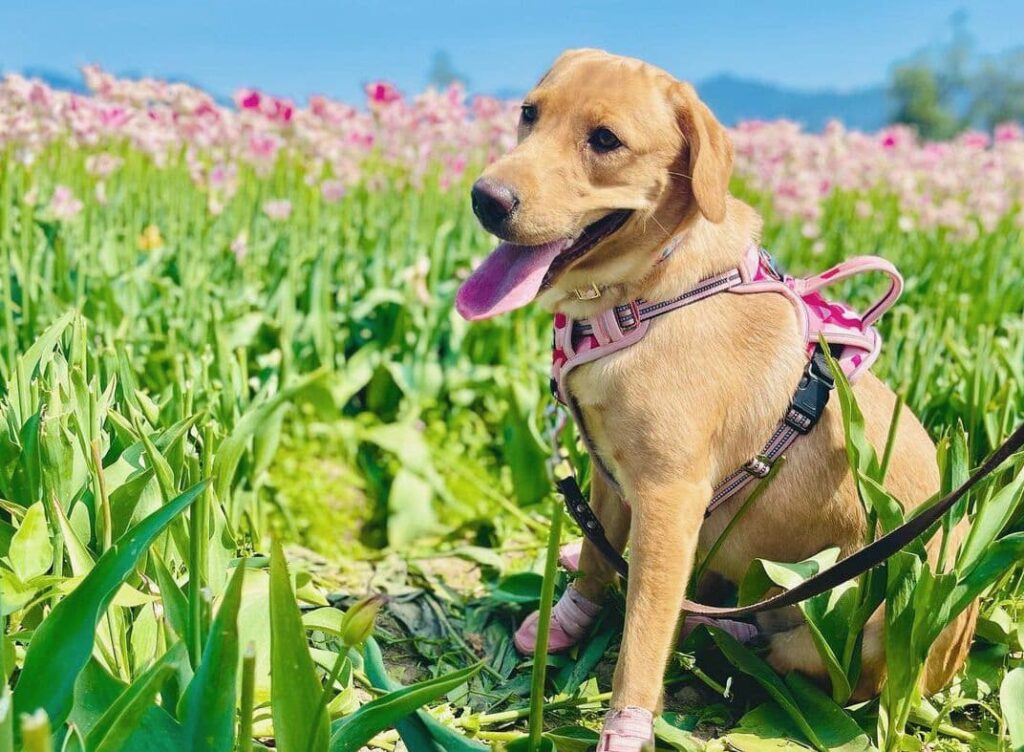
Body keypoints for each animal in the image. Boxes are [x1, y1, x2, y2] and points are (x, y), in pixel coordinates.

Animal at [454, 50, 974, 749]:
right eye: (528, 114)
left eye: (605, 141)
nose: (486, 198)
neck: (645, 295)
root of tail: (949, 663)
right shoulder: (608, 472)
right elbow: (594, 553)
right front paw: (569, 619)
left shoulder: (669, 500)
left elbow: (643, 640)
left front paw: (627, 724)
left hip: (872, 624)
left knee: (797, 660)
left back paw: (720, 628)